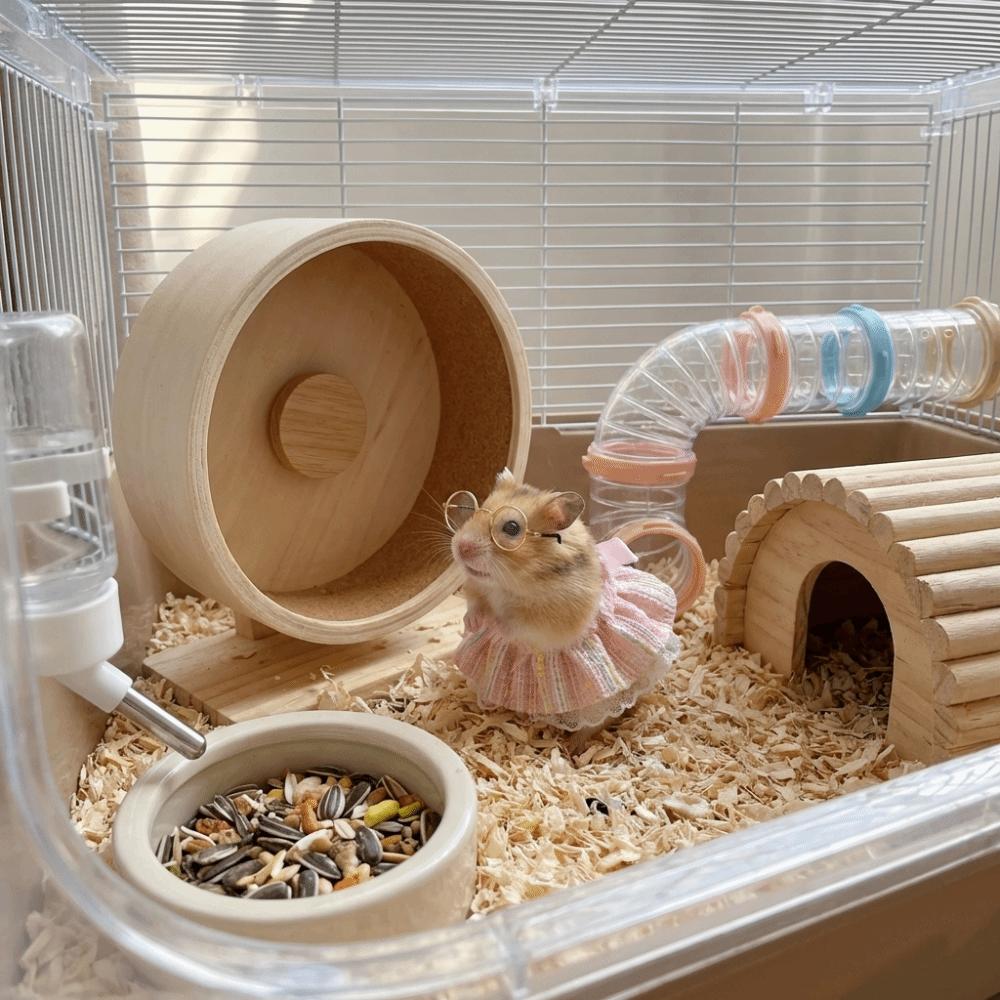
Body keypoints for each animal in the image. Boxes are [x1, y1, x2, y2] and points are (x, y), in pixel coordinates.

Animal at [450, 469, 602, 651]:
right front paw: (473, 623)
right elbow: (474, 603)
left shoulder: (548, 621)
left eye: (512, 528)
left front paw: (492, 625)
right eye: (475, 513)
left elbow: (515, 626)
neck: (505, 586)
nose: (461, 548)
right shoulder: (475, 586)